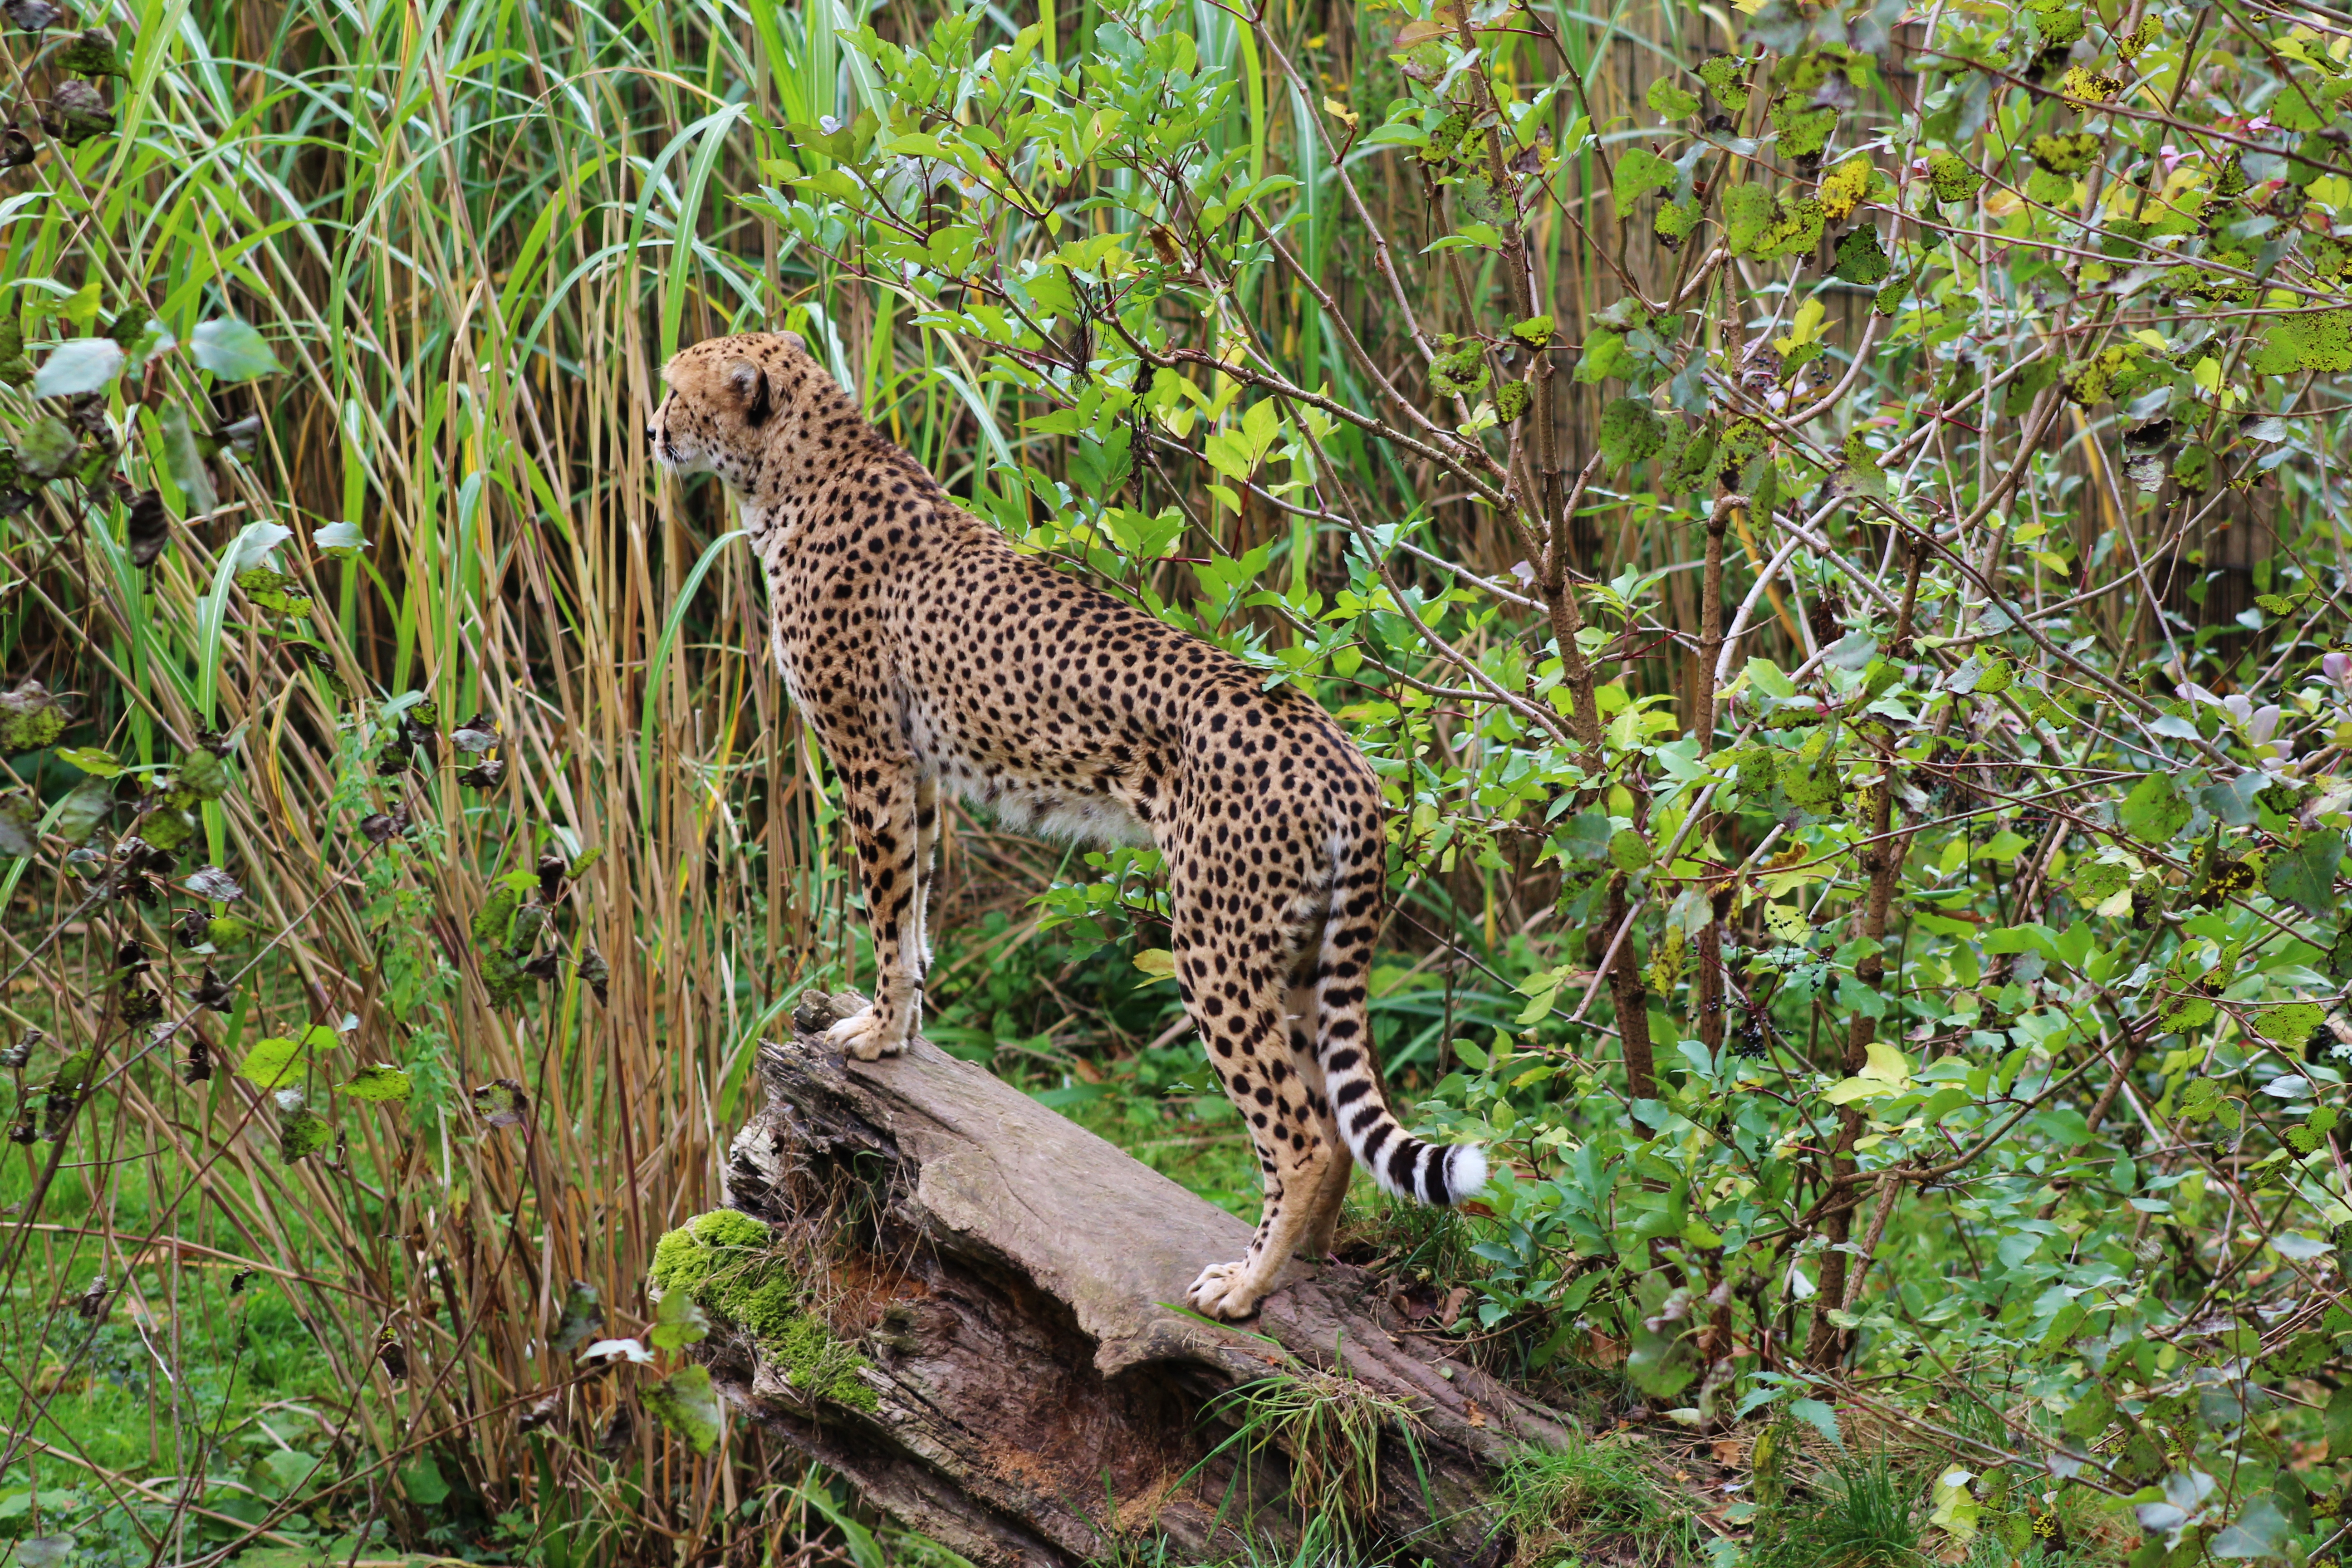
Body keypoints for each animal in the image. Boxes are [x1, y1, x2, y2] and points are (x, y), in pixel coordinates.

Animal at [654, 333, 1477, 1326]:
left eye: (677, 391)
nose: (651, 430)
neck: (797, 470)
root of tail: (1338, 748)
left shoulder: (871, 757)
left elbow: (886, 905)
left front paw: (878, 1033)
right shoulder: (917, 770)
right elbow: (916, 905)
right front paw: (906, 1022)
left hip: (1215, 944)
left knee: (1301, 1135)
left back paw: (1245, 1284)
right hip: (1302, 948)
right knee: (1333, 1118)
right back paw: (1306, 1261)